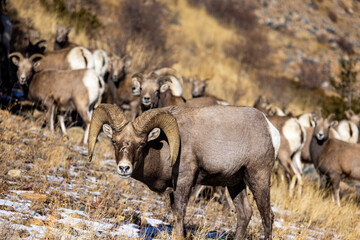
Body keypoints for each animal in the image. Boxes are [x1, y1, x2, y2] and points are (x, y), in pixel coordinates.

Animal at [88, 104, 280, 239]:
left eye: (141, 143)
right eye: (114, 141)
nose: (124, 168)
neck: (164, 147)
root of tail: (271, 129)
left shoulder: (184, 181)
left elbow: (180, 213)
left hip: (258, 177)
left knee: (267, 216)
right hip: (235, 184)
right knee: (244, 214)